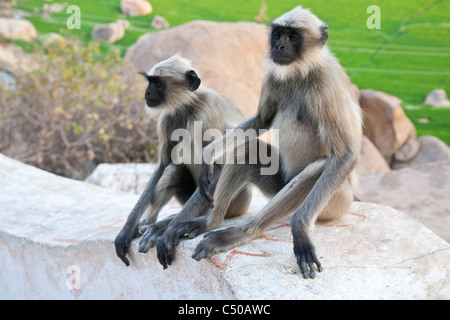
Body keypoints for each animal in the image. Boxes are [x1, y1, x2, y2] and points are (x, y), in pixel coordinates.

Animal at [112, 55, 253, 268]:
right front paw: (127, 230)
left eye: (158, 84)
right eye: (150, 82)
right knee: (172, 170)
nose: (147, 92)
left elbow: (224, 163)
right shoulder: (167, 118)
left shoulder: (205, 117)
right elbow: (162, 166)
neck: (189, 106)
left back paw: (167, 225)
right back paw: (151, 222)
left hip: (236, 203)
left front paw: (170, 230)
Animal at [163, 6, 364, 278]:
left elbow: (345, 155)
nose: (279, 46)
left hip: (336, 202)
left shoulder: (326, 82)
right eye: (278, 34)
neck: (302, 70)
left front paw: (300, 231)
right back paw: (209, 222)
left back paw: (246, 231)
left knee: (319, 166)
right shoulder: (272, 76)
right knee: (247, 150)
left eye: (293, 37)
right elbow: (262, 121)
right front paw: (209, 155)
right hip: (279, 185)